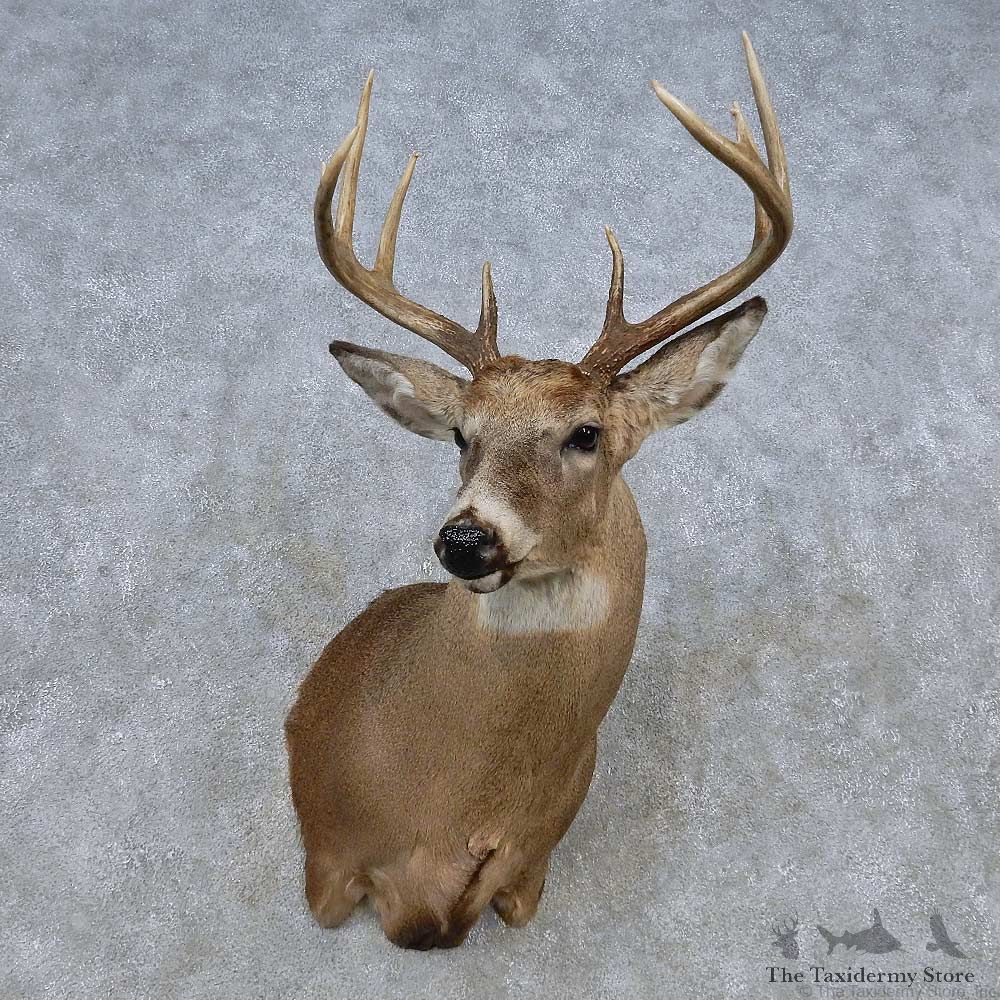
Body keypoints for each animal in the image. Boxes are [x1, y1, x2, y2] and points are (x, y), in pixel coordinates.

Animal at [285, 32, 792, 950]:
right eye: (462, 434)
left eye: (585, 433)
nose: (465, 539)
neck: (461, 809)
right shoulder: (329, 858)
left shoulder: (529, 875)